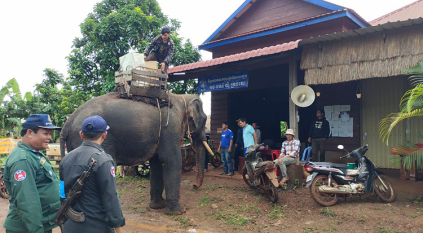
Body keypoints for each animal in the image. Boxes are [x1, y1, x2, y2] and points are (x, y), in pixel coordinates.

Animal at [60, 91, 212, 215]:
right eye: (204, 119)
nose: (194, 186)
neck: (181, 97)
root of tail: (67, 123)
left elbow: (156, 163)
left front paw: (157, 206)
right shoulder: (170, 126)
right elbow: (170, 160)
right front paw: (178, 212)